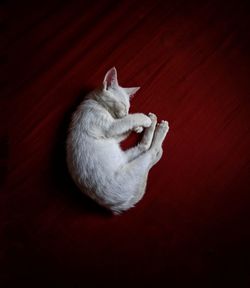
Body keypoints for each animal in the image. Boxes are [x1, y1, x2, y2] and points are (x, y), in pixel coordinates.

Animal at [66, 66, 170, 213]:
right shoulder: (109, 127)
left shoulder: (113, 134)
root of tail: (119, 206)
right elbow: (128, 120)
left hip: (126, 157)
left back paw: (154, 122)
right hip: (134, 168)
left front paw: (137, 127)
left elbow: (125, 126)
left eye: (128, 107)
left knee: (144, 147)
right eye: (123, 105)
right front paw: (142, 120)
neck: (94, 102)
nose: (126, 112)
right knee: (151, 150)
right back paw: (158, 126)